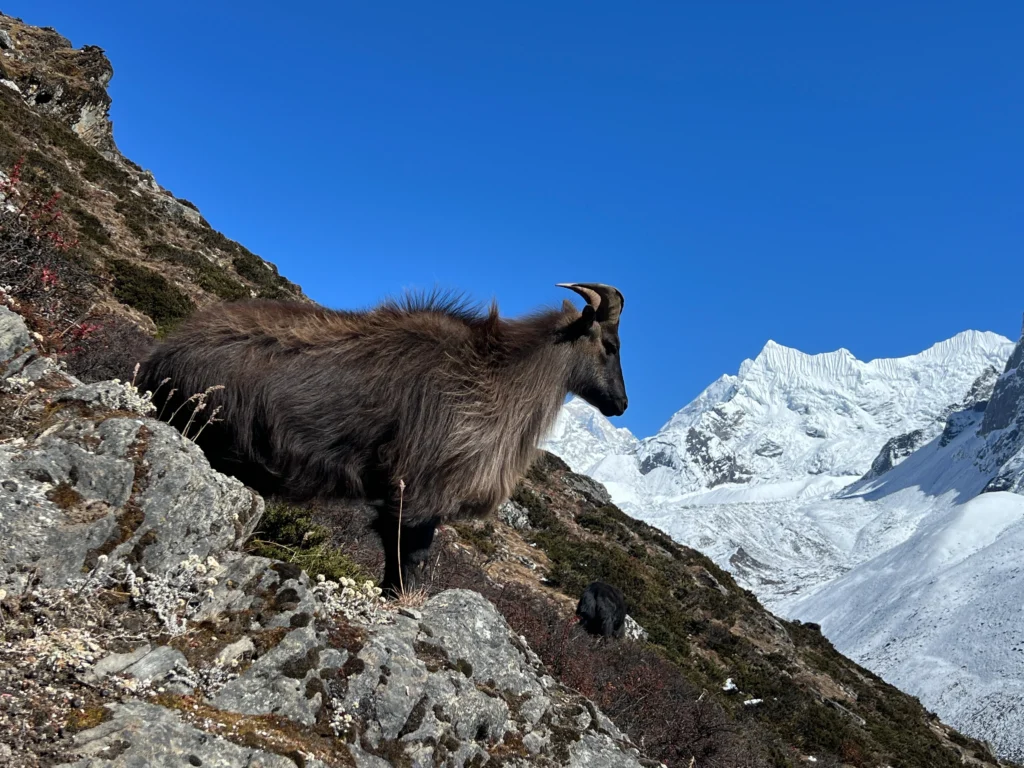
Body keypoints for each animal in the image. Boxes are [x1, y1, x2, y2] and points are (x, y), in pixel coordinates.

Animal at [136, 284, 627, 594]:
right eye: (610, 345)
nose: (621, 404)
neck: (497, 380)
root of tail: (158, 360)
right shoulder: (418, 495)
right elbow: (407, 560)